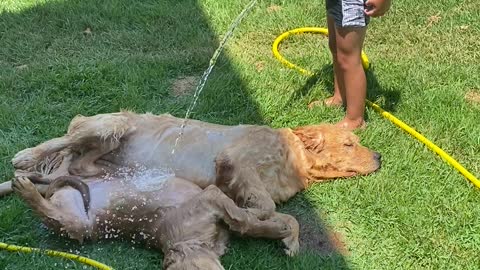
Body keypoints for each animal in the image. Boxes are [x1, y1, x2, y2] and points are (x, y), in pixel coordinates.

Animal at [1, 110, 380, 217]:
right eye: (349, 143)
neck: (294, 158)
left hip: (103, 155)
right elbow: (267, 206)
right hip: (111, 125)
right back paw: (26, 156)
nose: (380, 156)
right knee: (65, 138)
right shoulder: (237, 157)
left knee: (79, 165)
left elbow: (259, 200)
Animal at [11, 173, 298, 270]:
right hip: (74, 221)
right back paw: (25, 189)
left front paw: (289, 238)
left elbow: (269, 215)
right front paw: (276, 229)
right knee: (49, 211)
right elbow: (247, 221)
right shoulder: (210, 198)